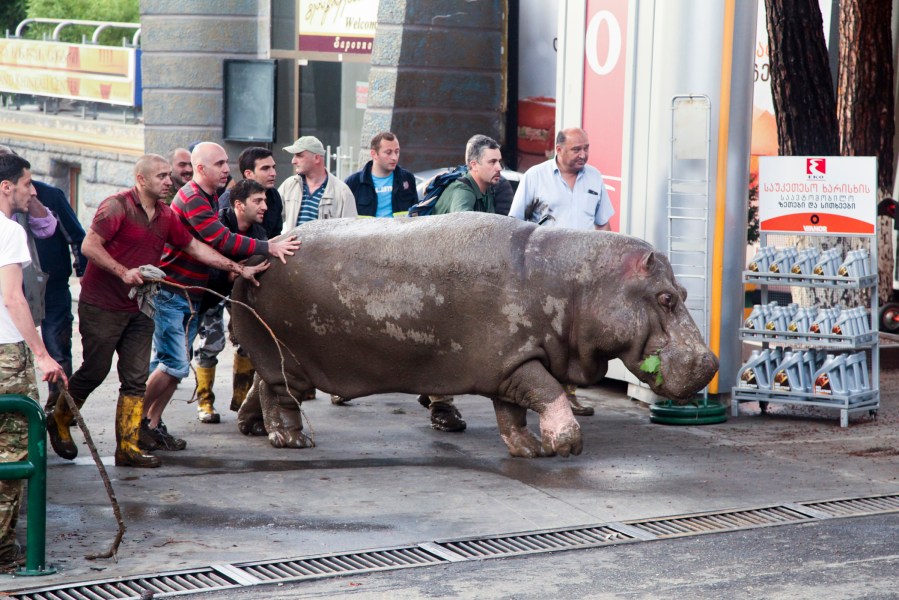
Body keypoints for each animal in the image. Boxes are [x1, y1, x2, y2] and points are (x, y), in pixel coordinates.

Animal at [230, 212, 718, 458]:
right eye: (665, 298)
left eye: (684, 292)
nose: (711, 362)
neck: (578, 282)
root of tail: (258, 254)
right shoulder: (518, 361)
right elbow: (548, 392)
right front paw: (567, 446)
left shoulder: (511, 364)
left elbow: (514, 412)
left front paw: (530, 449)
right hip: (286, 358)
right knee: (277, 395)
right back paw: (290, 440)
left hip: (283, 359)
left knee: (261, 386)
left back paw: (251, 427)